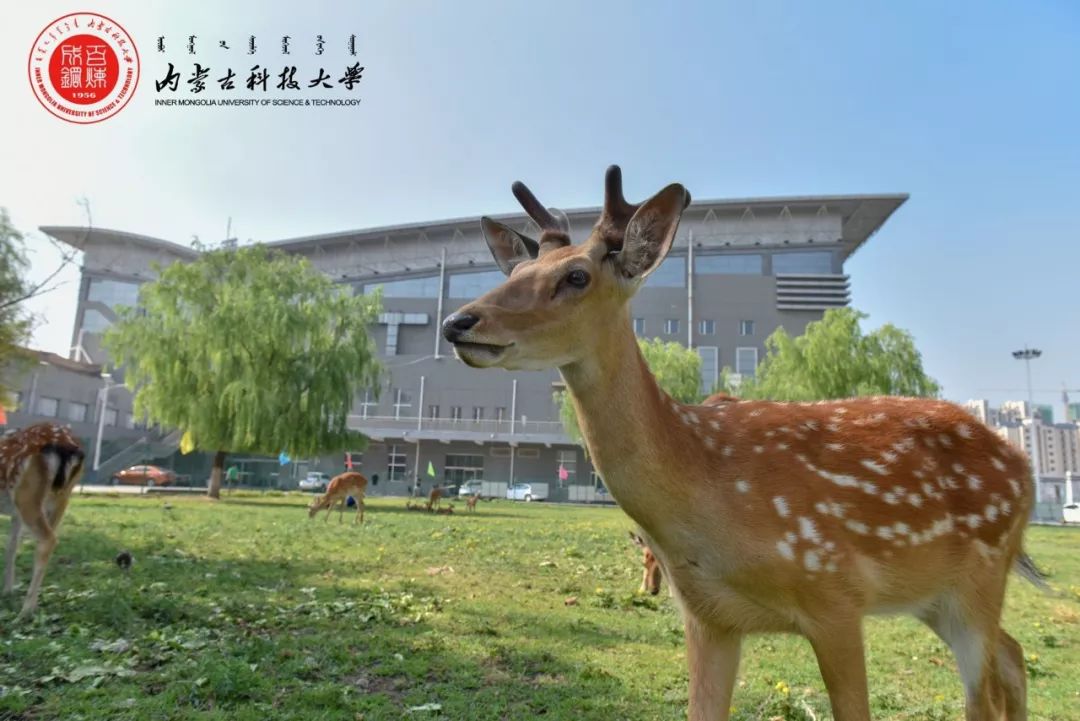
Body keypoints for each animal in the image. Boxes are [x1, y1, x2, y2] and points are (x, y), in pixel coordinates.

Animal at [1, 423, 85, 621]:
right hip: (62, 497)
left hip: (26, 494)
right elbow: (11, 548)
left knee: (48, 539)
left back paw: (24, 613)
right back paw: (32, 606)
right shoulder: (15, 515)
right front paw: (7, 591)